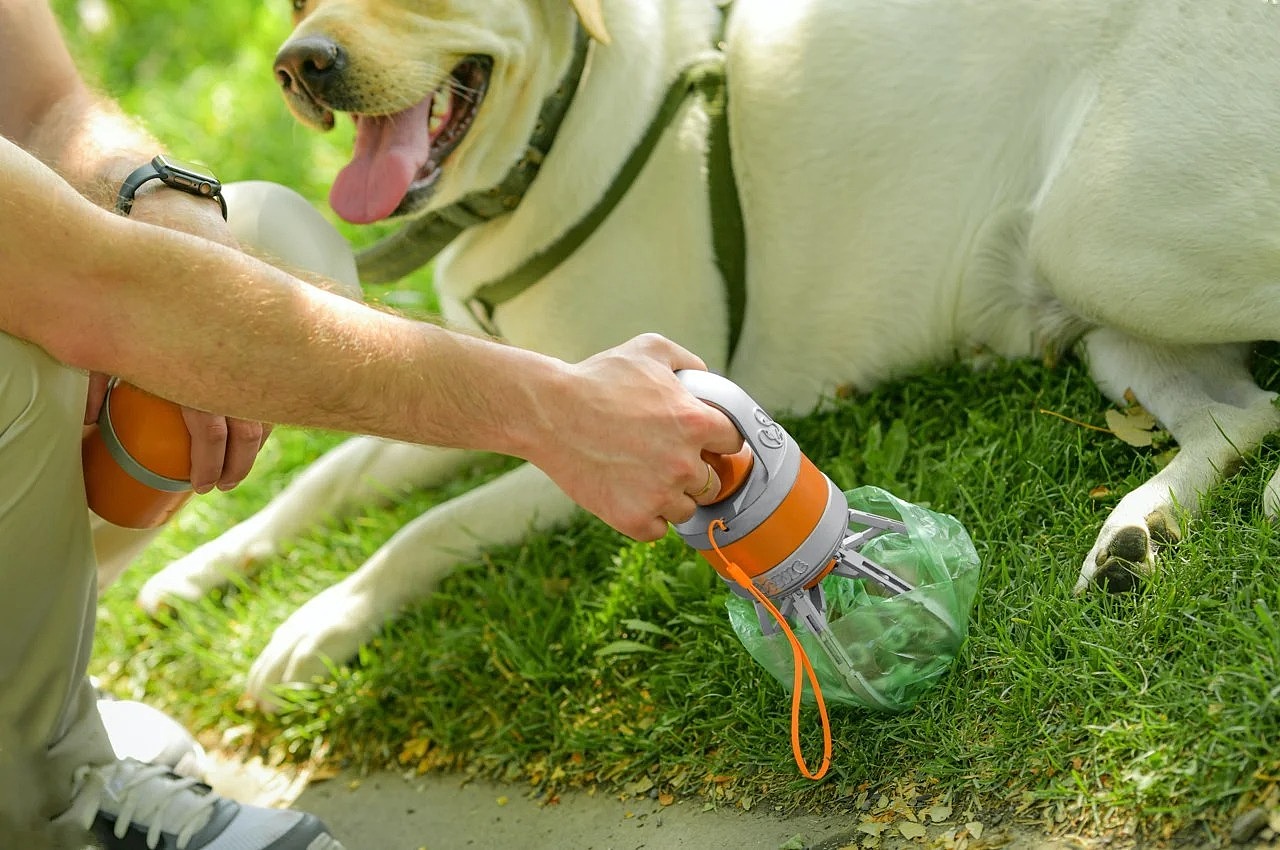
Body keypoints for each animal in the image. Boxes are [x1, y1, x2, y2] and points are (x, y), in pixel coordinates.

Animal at [142, 0, 1280, 701]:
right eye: (294, 7)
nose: (301, 64)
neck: (550, 142)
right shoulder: (512, 387)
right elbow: (334, 475)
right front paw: (202, 566)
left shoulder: (604, 433)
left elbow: (427, 528)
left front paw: (321, 619)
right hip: (1101, 300)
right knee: (1241, 413)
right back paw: (1136, 534)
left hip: (1100, 236)